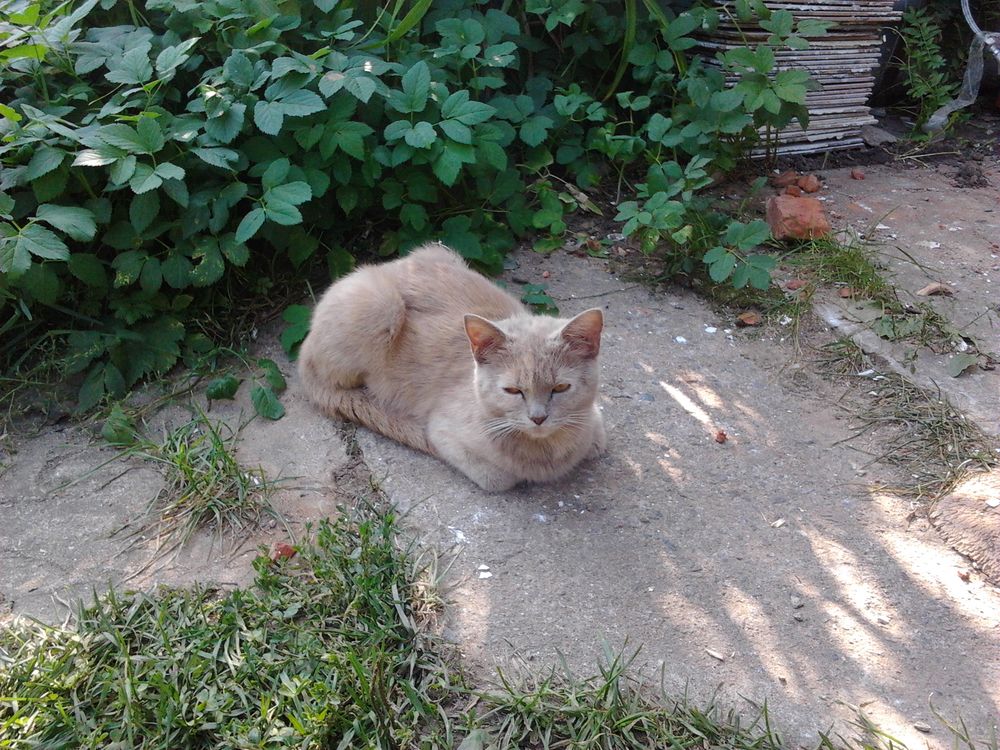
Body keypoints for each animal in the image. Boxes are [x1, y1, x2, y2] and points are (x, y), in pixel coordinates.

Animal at [297, 243, 606, 492]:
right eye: (512, 391)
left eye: (561, 387)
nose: (538, 418)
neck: (549, 454)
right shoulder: (442, 433)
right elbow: (499, 478)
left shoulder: (594, 420)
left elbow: (596, 440)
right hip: (379, 305)